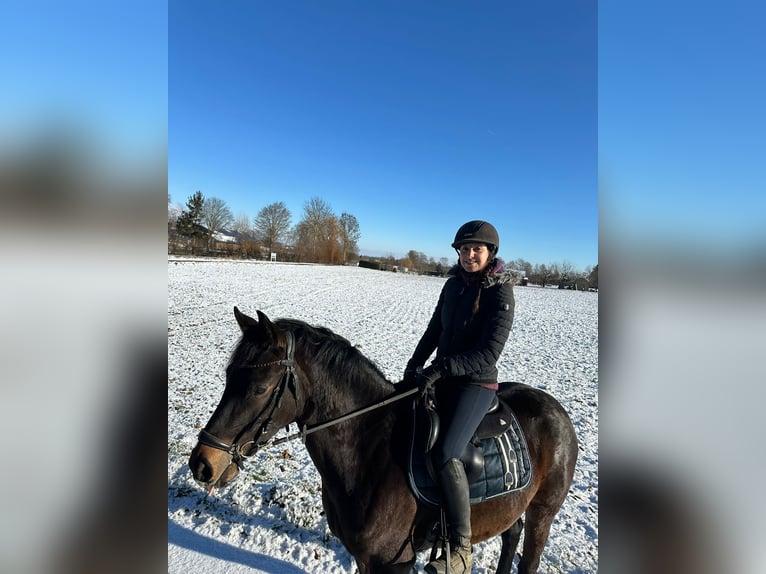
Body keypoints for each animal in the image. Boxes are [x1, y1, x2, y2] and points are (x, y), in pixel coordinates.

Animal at [189, 308, 578, 574]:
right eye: (228, 376)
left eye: (259, 388)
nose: (202, 464)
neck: (368, 451)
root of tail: (556, 409)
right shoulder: (364, 558)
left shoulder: (395, 562)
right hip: (513, 506)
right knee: (511, 534)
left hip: (543, 512)